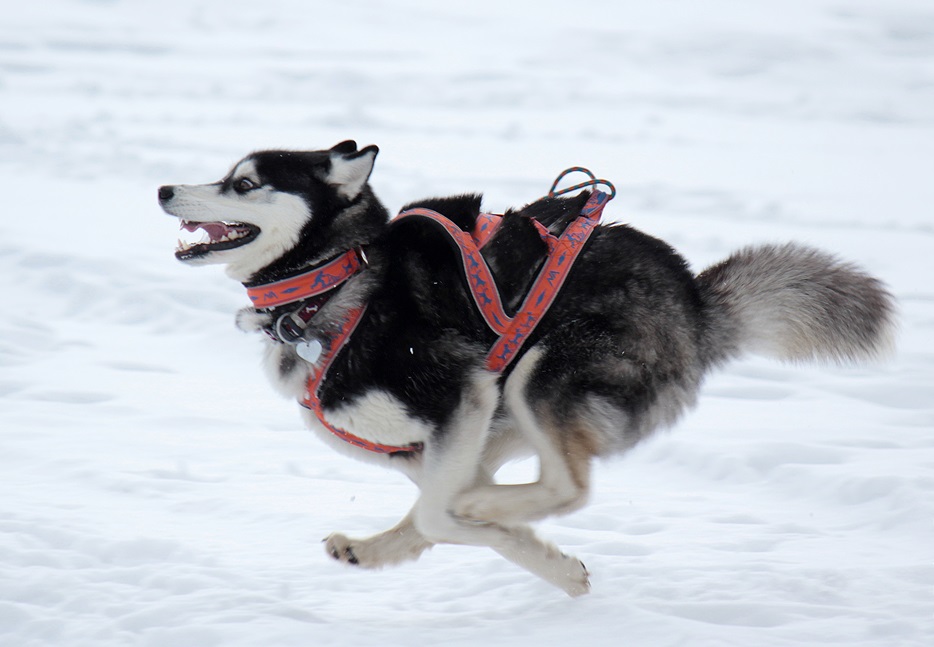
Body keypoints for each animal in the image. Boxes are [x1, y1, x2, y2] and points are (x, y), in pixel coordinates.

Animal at [157, 142, 896, 596]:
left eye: (244, 183)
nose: (165, 187)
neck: (334, 280)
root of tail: (693, 298)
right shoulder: (443, 436)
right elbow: (439, 515)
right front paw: (536, 554)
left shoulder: (459, 395)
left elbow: (444, 515)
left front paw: (540, 556)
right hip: (508, 411)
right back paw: (376, 546)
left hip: (538, 372)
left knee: (566, 485)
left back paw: (477, 512)